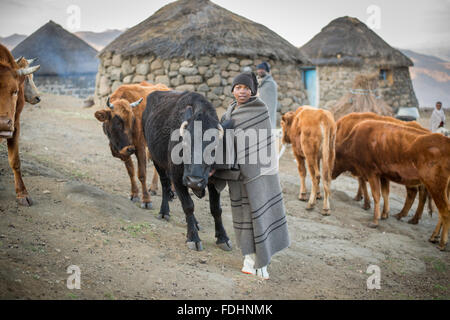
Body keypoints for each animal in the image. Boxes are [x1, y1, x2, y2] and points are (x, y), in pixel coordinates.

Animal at [94, 81, 171, 209]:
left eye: (133, 120)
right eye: (118, 121)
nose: (130, 148)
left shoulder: (139, 147)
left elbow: (142, 174)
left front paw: (146, 200)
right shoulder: (123, 151)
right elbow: (130, 171)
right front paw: (134, 194)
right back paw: (154, 188)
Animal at [142, 89, 232, 250]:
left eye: (214, 147)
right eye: (184, 143)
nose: (194, 181)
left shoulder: (213, 180)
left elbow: (216, 209)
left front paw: (223, 237)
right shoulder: (178, 177)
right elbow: (188, 206)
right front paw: (193, 238)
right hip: (156, 159)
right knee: (164, 184)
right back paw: (164, 212)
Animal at [332, 120, 448, 250]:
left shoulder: (372, 173)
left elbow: (377, 196)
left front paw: (375, 221)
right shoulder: (383, 175)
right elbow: (385, 193)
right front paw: (384, 214)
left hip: (435, 186)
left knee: (444, 211)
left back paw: (441, 243)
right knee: (440, 213)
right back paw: (433, 236)